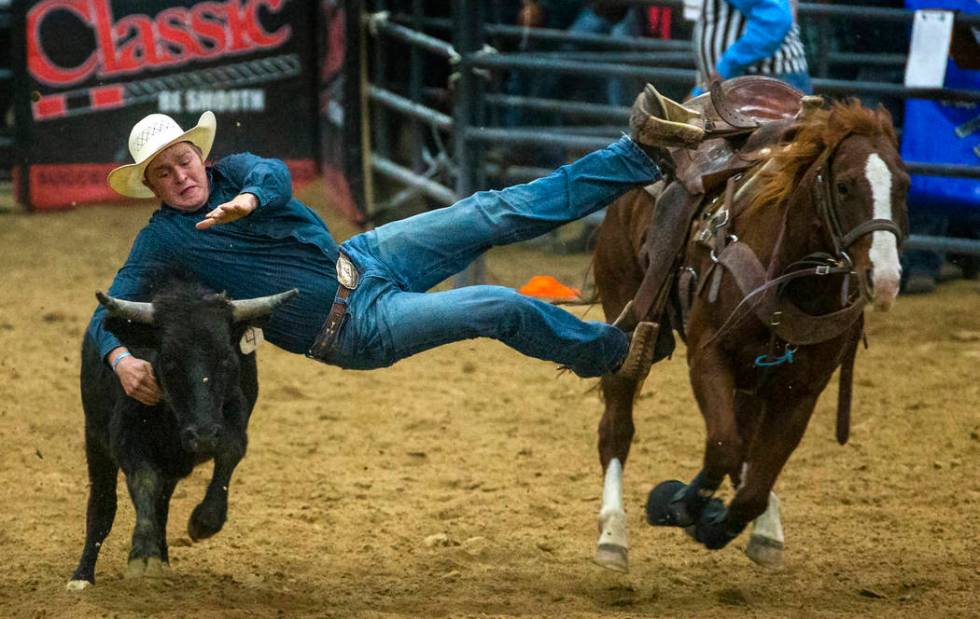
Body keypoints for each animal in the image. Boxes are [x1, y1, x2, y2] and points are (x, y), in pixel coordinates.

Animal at [588, 100, 904, 572]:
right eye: (845, 186)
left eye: (903, 186)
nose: (884, 280)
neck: (791, 278)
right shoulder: (708, 358)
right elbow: (724, 446)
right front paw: (679, 505)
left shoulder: (802, 390)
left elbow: (755, 477)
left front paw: (724, 523)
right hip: (626, 315)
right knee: (618, 427)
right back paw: (613, 535)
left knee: (748, 446)